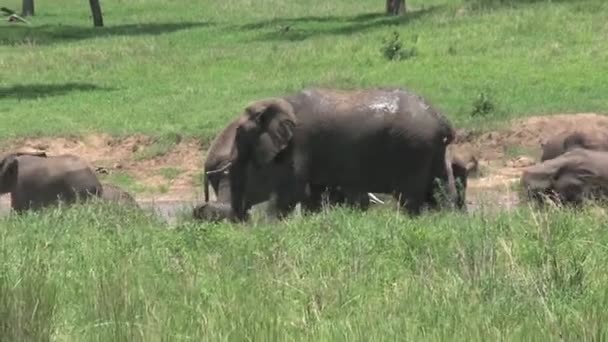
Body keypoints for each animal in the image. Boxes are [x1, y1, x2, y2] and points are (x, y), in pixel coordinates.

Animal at [208, 87, 460, 222]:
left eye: (239, 133)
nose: (242, 220)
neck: (279, 102)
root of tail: (441, 119)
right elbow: (313, 194)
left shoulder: (300, 143)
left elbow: (292, 191)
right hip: (432, 150)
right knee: (442, 191)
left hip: (413, 148)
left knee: (411, 198)